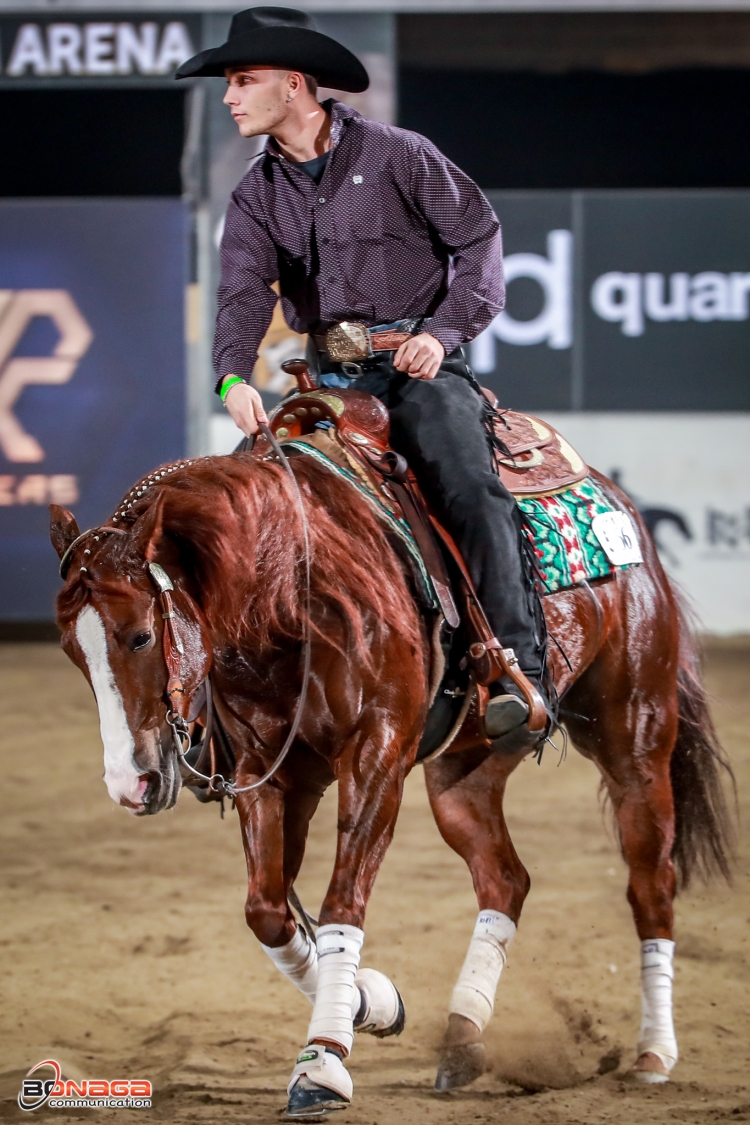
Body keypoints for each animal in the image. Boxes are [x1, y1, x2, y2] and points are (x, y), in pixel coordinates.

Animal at [51, 445, 733, 1116]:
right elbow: (268, 911)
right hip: (463, 775)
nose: (130, 783)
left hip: (635, 740)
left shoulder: (374, 757)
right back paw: (462, 1035)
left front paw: (322, 1062)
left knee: (651, 886)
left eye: (140, 635)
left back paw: (654, 1053)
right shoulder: (270, 773)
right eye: (71, 651)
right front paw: (368, 1001)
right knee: (505, 879)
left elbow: (340, 905)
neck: (291, 584)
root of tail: (619, 505)